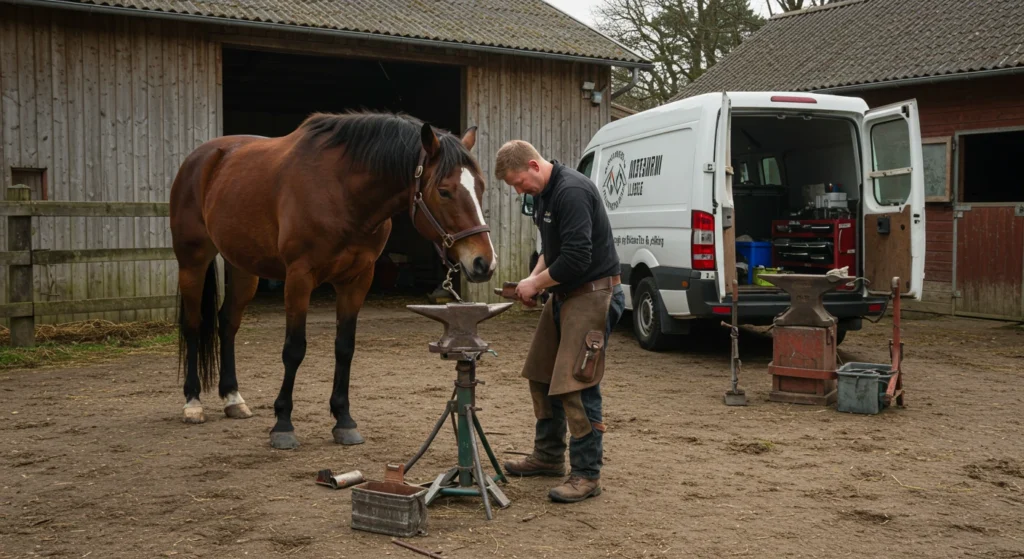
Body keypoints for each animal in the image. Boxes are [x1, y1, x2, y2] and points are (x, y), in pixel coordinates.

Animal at [169, 112, 496, 449]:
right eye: (444, 191)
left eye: (481, 187)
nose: (483, 262)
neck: (342, 192)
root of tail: (204, 157)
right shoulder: (299, 278)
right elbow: (294, 349)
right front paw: (283, 423)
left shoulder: (356, 280)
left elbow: (345, 347)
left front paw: (344, 420)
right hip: (193, 262)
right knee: (193, 325)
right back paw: (192, 403)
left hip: (244, 269)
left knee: (228, 324)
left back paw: (233, 398)